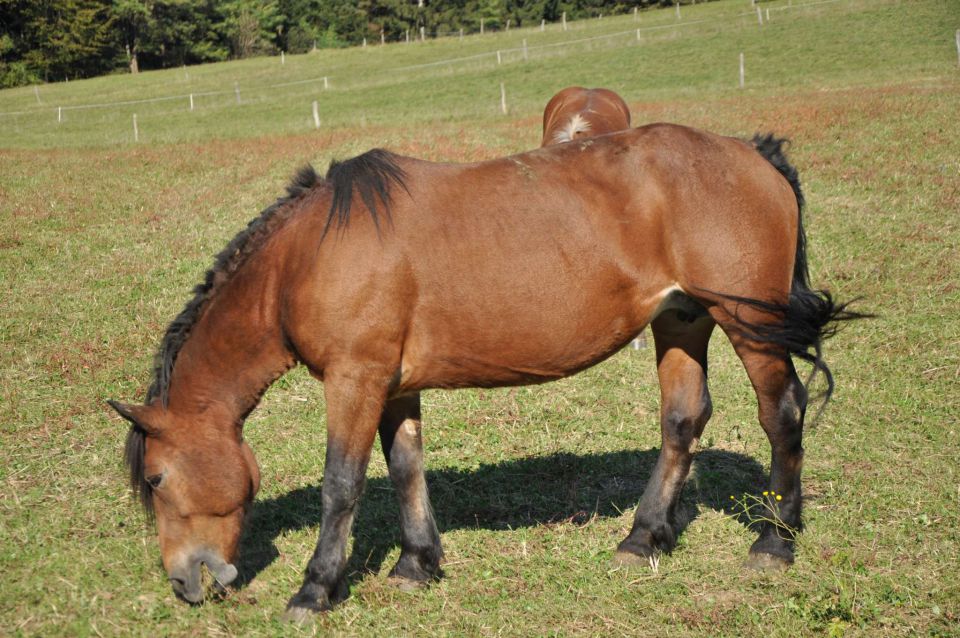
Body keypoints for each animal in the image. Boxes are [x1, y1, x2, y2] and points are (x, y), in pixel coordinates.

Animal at [109, 124, 860, 620]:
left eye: (156, 479)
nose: (184, 584)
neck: (307, 256)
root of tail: (751, 153)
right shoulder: (394, 385)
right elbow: (406, 470)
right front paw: (417, 564)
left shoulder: (355, 379)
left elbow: (341, 485)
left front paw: (316, 588)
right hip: (682, 320)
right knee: (682, 421)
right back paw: (644, 536)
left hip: (748, 325)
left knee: (782, 414)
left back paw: (775, 541)